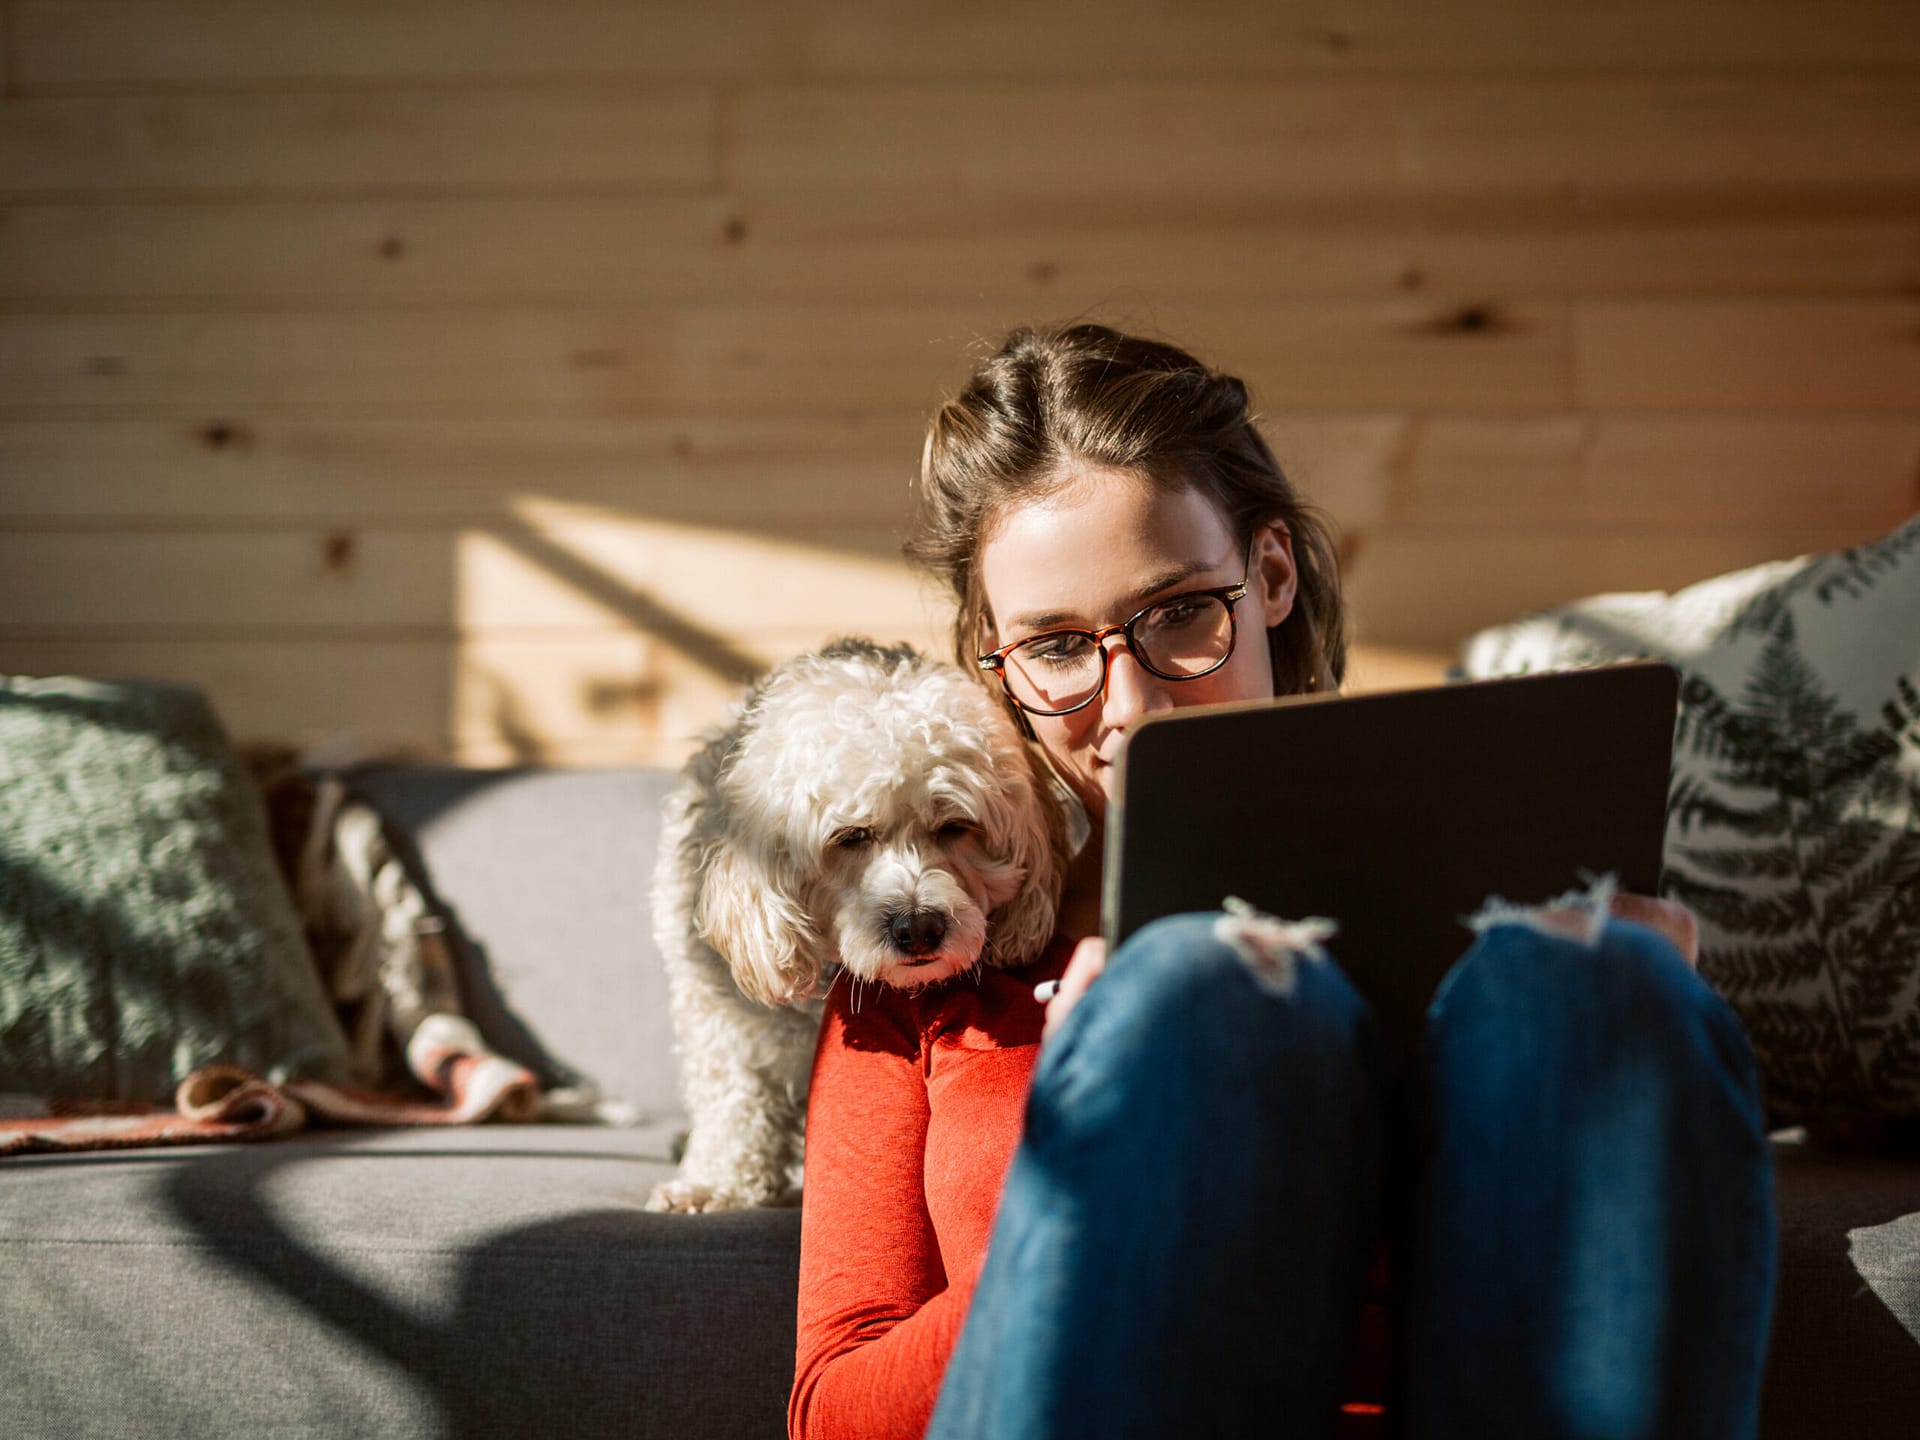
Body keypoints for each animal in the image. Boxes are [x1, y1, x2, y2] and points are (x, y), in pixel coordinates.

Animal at [645, 637, 1067, 1213]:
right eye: (851, 836)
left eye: (955, 826)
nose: (919, 927)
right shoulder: (720, 1014)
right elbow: (733, 1095)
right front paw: (717, 1182)